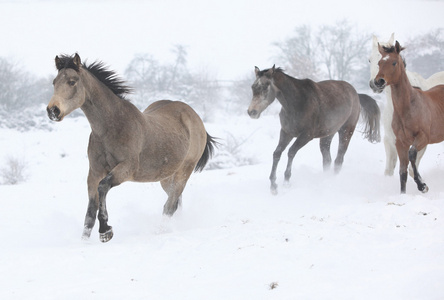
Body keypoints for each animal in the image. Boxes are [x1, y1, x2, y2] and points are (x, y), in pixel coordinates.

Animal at [46, 53, 217, 241]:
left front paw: (105, 231)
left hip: (184, 171)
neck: (112, 127)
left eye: (72, 81)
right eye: (54, 82)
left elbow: (103, 187)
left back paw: (159, 232)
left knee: (170, 206)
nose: (53, 110)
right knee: (176, 203)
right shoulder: (94, 172)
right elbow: (90, 212)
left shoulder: (126, 169)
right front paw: (84, 241)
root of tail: (195, 117)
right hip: (166, 177)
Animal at [248, 65, 380, 195]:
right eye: (253, 87)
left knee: (339, 159)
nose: (251, 112)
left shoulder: (306, 135)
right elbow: (277, 153)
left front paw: (286, 181)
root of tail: (356, 94)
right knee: (327, 160)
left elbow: (291, 152)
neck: (297, 103)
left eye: (265, 87)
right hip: (327, 135)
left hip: (346, 131)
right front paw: (273, 186)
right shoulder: (286, 132)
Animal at [370, 33, 444, 176]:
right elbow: (389, 171)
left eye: (394, 63)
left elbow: (411, 170)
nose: (375, 84)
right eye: (370, 60)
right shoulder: (391, 141)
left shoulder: (422, 142)